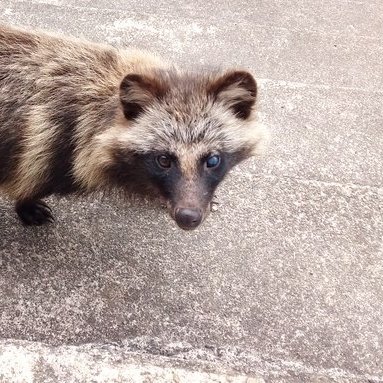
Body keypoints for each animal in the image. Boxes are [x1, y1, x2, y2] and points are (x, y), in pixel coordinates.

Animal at [0, 25, 268, 232]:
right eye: (163, 160)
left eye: (213, 160)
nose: (188, 217)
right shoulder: (46, 140)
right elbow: (28, 175)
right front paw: (24, 202)